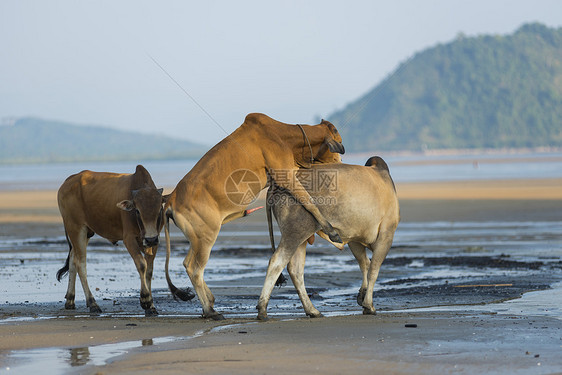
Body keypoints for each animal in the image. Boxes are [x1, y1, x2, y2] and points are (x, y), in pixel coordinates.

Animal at [57, 166, 175, 316]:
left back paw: (70, 300)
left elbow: (149, 270)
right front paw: (145, 300)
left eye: (160, 209)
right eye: (137, 211)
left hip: (86, 232)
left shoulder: (154, 242)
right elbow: (142, 265)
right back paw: (92, 303)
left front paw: (151, 306)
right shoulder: (129, 239)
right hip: (76, 228)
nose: (150, 239)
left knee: (73, 259)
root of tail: (67, 182)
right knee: (80, 264)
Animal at [164, 112, 344, 320]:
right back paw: (210, 311)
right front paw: (331, 231)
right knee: (195, 269)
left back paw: (209, 302)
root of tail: (171, 200)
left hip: (197, 239)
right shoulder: (287, 175)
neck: (285, 135)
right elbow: (310, 202)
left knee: (187, 264)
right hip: (206, 237)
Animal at [258, 157, 398, 322]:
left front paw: (362, 297)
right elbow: (373, 270)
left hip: (301, 238)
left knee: (295, 270)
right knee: (276, 262)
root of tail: (276, 184)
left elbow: (365, 265)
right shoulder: (386, 235)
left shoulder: (354, 240)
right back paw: (262, 309)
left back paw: (312, 310)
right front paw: (369, 305)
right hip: (295, 233)